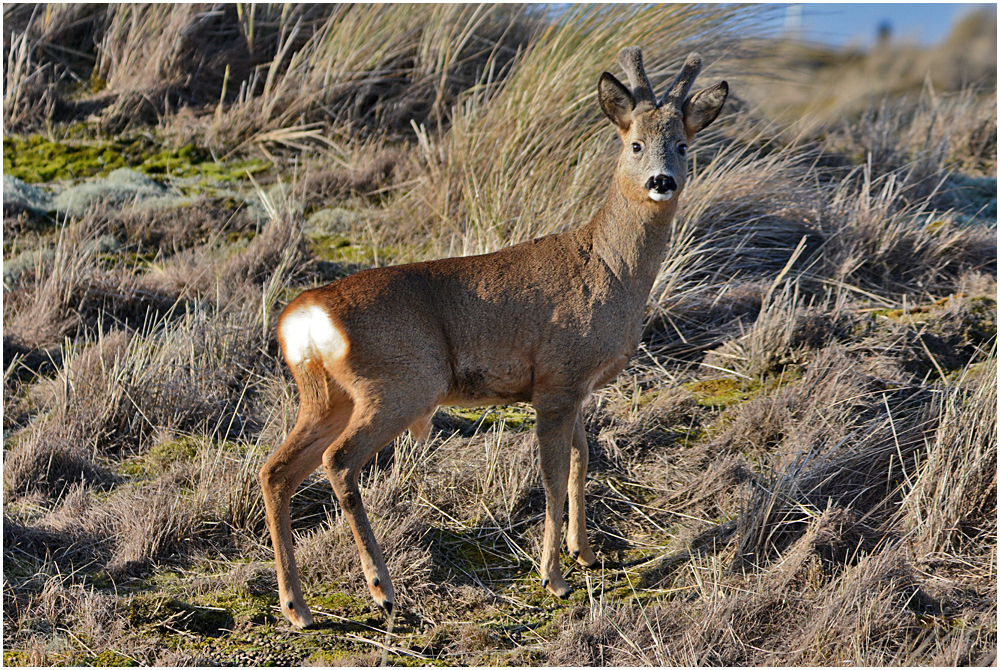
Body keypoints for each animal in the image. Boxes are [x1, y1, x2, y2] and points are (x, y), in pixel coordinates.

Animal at [258, 47, 728, 632]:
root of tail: (303, 315)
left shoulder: (574, 387)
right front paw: (553, 577)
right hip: (399, 384)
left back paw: (297, 608)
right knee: (339, 462)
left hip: (325, 397)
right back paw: (382, 591)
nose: (662, 181)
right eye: (634, 143)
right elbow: (552, 473)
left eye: (683, 144)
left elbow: (582, 459)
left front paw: (585, 552)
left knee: (275, 471)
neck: (609, 267)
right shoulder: (557, 380)